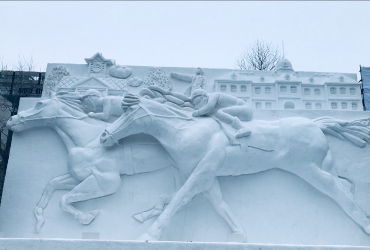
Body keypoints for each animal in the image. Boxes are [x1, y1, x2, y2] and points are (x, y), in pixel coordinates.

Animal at [5, 93, 179, 233]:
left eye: (39, 104)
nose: (12, 120)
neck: (88, 140)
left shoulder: (107, 181)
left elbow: (64, 199)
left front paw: (87, 217)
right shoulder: (80, 177)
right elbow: (52, 184)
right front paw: (39, 221)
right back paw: (146, 214)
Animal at [100, 97, 370, 240]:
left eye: (129, 110)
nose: (104, 135)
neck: (184, 130)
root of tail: (315, 124)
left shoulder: (203, 172)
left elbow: (179, 199)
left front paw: (149, 235)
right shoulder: (199, 175)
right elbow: (206, 201)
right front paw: (238, 235)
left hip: (309, 169)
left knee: (340, 194)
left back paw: (364, 225)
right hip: (322, 166)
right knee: (345, 186)